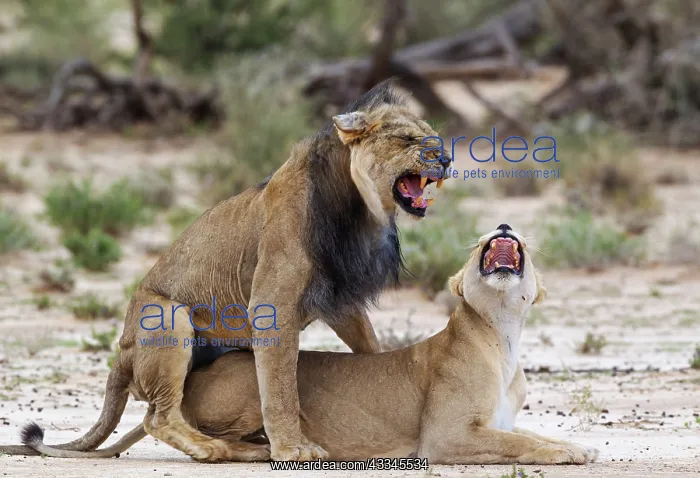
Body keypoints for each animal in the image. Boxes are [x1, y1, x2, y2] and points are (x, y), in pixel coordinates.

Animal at [0, 80, 451, 462]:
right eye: (407, 140)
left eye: (434, 137)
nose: (446, 158)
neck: (359, 207)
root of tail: (121, 356)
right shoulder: (272, 302)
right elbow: (280, 387)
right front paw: (293, 450)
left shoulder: (338, 299)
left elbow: (369, 347)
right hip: (169, 318)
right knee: (158, 416)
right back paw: (218, 450)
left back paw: (246, 447)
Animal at [18, 223, 599, 465]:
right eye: (480, 241)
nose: (503, 225)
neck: (501, 335)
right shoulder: (445, 438)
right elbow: (522, 444)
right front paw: (570, 451)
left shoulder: (491, 423)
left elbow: (526, 434)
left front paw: (578, 445)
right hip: (230, 373)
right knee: (169, 420)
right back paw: (243, 451)